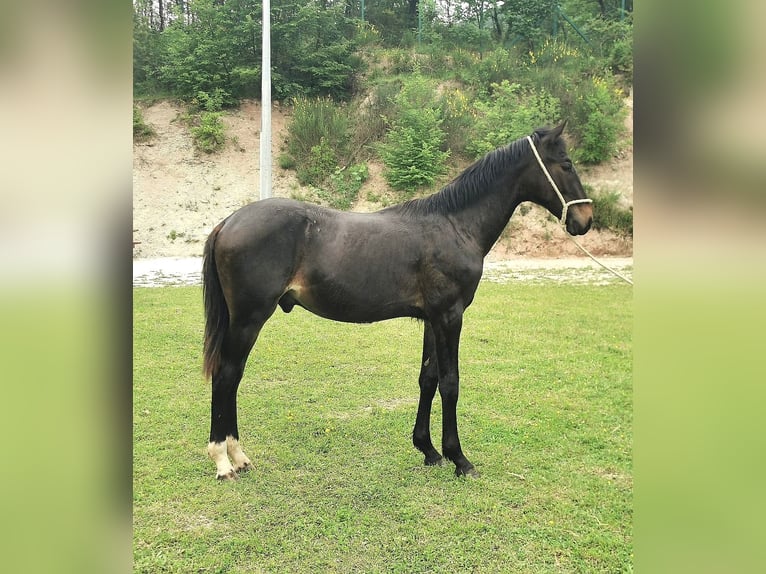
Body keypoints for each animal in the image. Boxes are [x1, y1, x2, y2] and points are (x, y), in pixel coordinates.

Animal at [202, 122, 592, 482]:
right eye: (567, 163)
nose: (585, 220)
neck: (455, 225)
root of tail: (228, 222)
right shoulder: (450, 316)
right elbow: (451, 383)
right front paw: (459, 459)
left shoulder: (432, 319)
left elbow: (428, 379)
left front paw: (429, 450)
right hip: (248, 319)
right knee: (227, 375)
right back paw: (225, 461)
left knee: (232, 376)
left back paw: (238, 457)